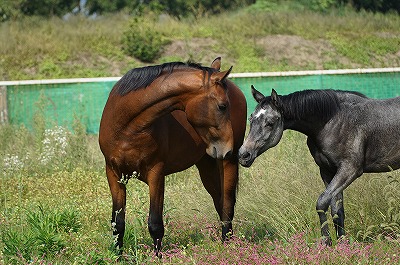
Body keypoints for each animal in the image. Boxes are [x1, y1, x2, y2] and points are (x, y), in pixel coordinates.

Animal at [98, 57, 245, 256]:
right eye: (222, 106)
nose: (227, 149)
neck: (127, 126)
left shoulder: (156, 173)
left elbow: (155, 224)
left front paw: (158, 257)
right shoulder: (114, 174)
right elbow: (117, 224)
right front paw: (118, 257)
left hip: (227, 163)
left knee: (228, 204)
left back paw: (228, 246)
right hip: (207, 165)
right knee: (220, 202)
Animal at [238, 85, 400, 244]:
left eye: (270, 123)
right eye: (251, 119)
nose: (243, 155)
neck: (333, 122)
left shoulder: (350, 170)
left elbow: (321, 203)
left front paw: (325, 241)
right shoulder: (328, 171)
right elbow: (337, 211)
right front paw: (341, 244)